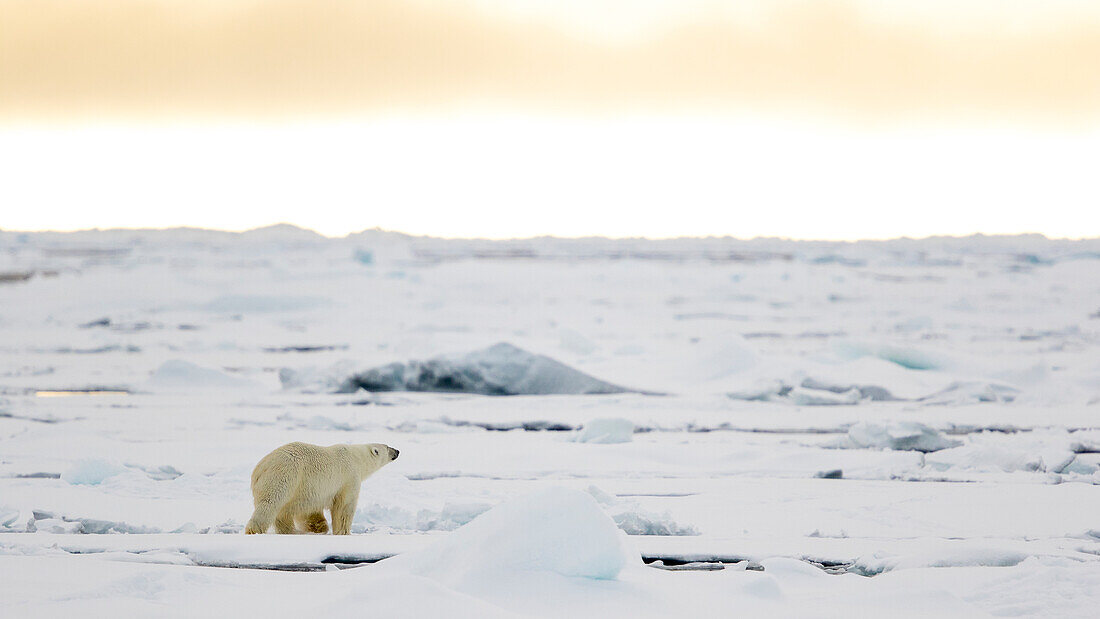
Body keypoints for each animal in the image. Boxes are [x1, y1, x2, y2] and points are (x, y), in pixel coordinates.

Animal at [243, 439, 398, 538]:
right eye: (387, 447)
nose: (397, 451)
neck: (357, 458)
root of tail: (260, 469)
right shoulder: (349, 478)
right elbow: (344, 507)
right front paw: (344, 532)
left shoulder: (306, 488)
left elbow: (307, 509)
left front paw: (319, 527)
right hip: (284, 476)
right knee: (270, 503)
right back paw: (254, 530)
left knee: (283, 511)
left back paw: (291, 531)